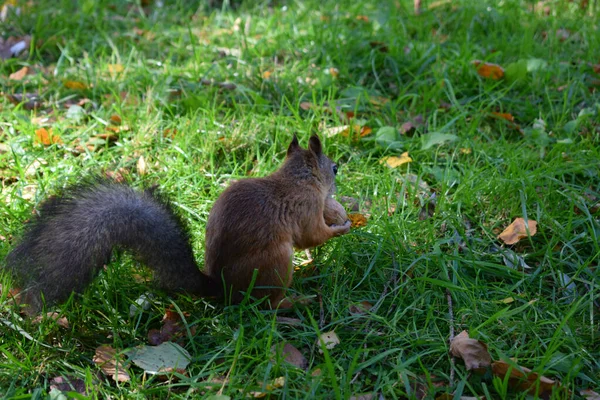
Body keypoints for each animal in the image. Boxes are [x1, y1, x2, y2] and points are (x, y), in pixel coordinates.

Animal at [3, 136, 352, 314]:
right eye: (334, 168)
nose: (337, 184)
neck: (296, 178)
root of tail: (222, 289)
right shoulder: (305, 208)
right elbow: (311, 236)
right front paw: (342, 227)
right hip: (275, 263)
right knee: (268, 303)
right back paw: (297, 301)